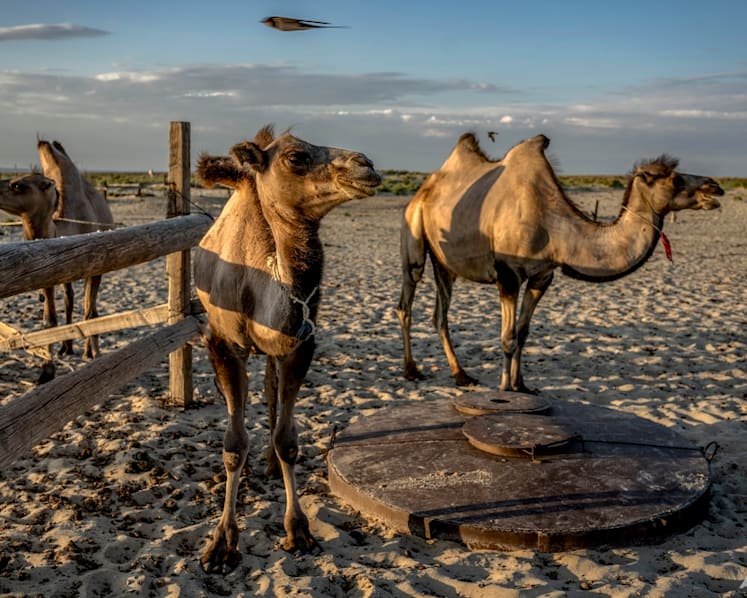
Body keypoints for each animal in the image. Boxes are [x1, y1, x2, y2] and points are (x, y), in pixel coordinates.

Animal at [37, 139, 114, 359]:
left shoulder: (96, 267)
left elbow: (89, 311)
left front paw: (90, 353)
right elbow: (65, 304)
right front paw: (64, 347)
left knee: (91, 308)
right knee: (70, 300)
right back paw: (67, 347)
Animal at [193, 125, 380, 573]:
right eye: (295, 157)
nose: (366, 165)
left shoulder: (299, 344)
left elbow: (287, 440)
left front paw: (298, 530)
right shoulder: (224, 343)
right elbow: (232, 444)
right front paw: (222, 543)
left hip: (275, 351)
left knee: (270, 393)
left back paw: (267, 465)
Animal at [397, 132, 723, 391]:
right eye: (675, 179)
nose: (715, 187)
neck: (552, 226)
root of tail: (424, 188)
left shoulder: (542, 275)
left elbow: (523, 333)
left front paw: (522, 385)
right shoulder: (508, 274)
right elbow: (507, 337)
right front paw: (504, 389)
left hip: (446, 263)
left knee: (440, 313)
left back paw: (461, 375)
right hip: (414, 232)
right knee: (407, 298)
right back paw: (412, 371)